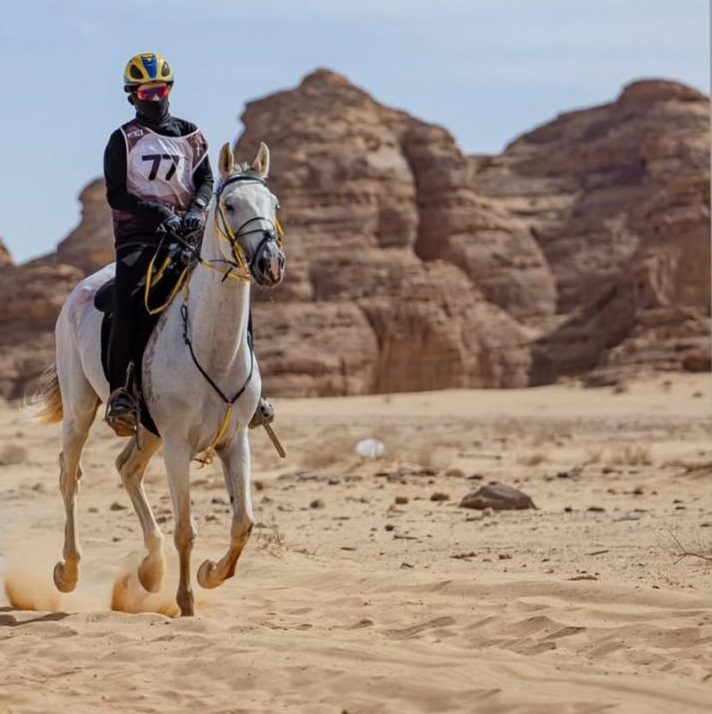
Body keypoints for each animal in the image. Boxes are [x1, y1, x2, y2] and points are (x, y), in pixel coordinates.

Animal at [38, 142, 284, 616]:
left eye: (274, 204)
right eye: (230, 204)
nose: (270, 263)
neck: (212, 347)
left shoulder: (236, 439)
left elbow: (243, 522)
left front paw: (210, 574)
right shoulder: (176, 444)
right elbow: (186, 529)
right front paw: (186, 601)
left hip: (146, 431)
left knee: (126, 467)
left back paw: (150, 569)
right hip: (82, 411)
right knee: (68, 476)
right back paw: (68, 571)